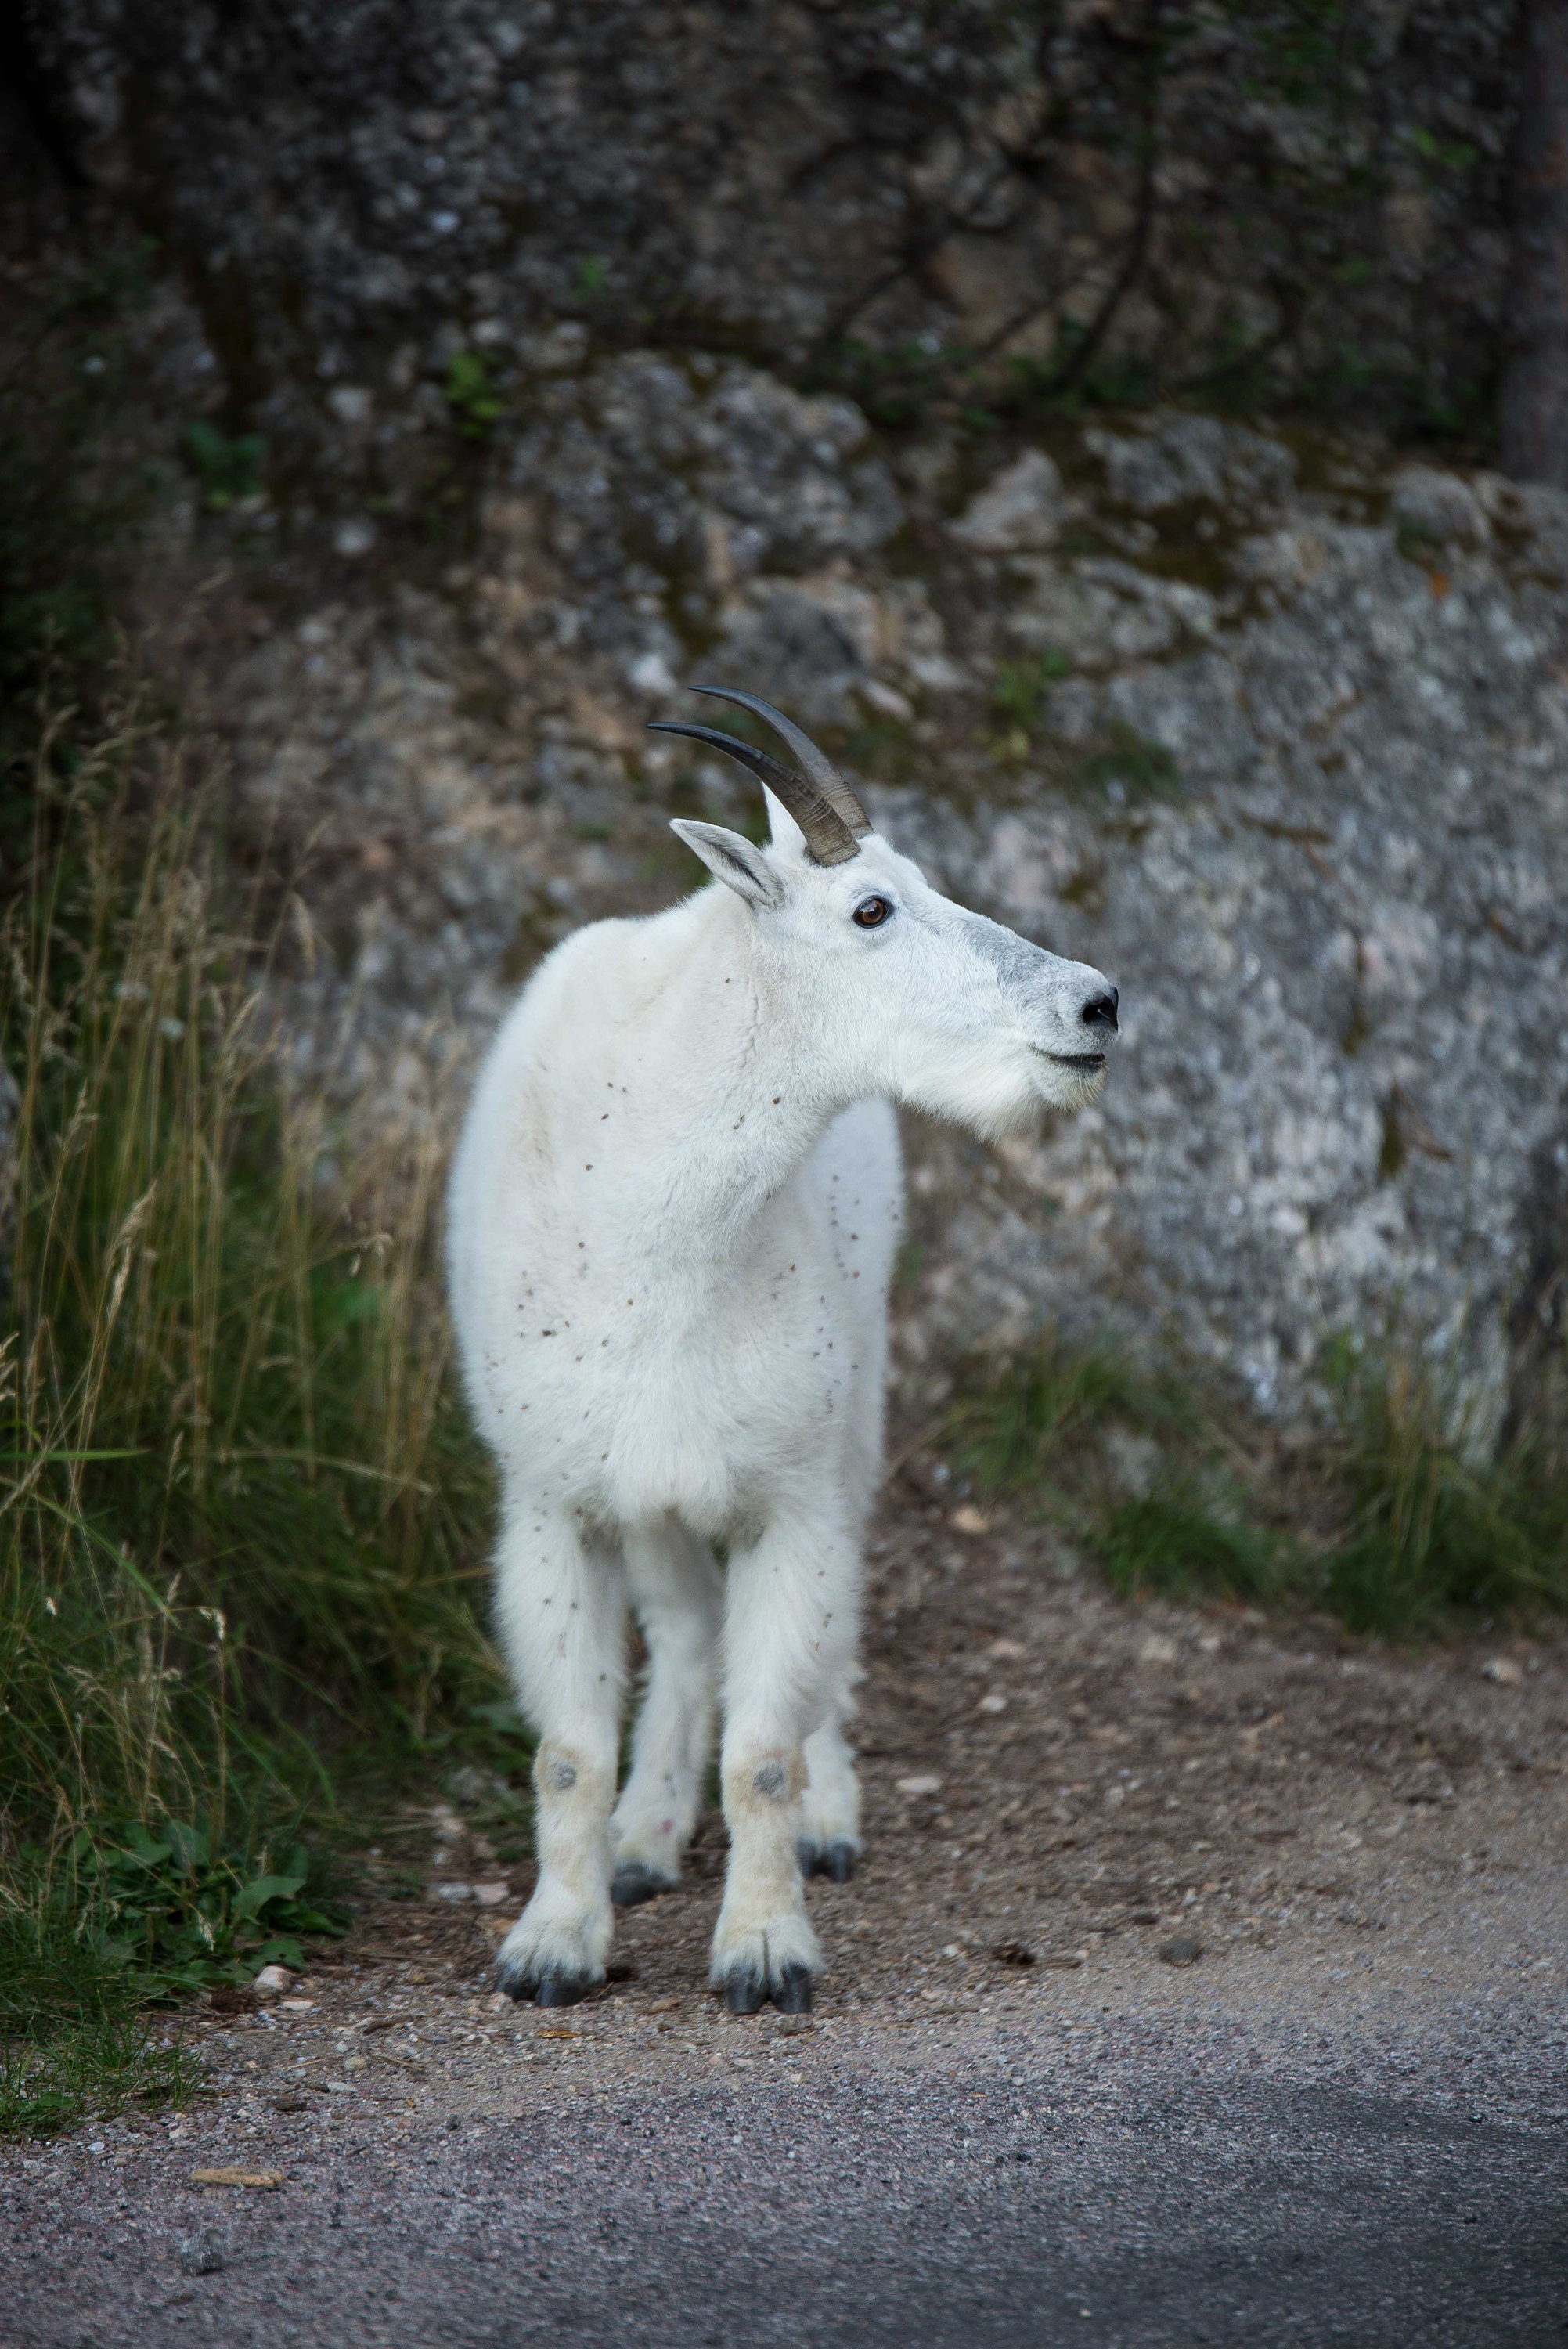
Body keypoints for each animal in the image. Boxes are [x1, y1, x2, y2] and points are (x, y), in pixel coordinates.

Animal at [447, 688, 1120, 2012]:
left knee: (826, 1634)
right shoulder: (556, 1502)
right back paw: (645, 1836)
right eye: (869, 909)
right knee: (686, 1631)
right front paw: (554, 1944)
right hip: (654, 1493)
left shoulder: (788, 1498)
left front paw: (763, 1950)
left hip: (852, 1413)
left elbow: (761, 1752)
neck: (657, 1227)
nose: (1094, 1004)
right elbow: (566, 1750)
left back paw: (827, 1818)